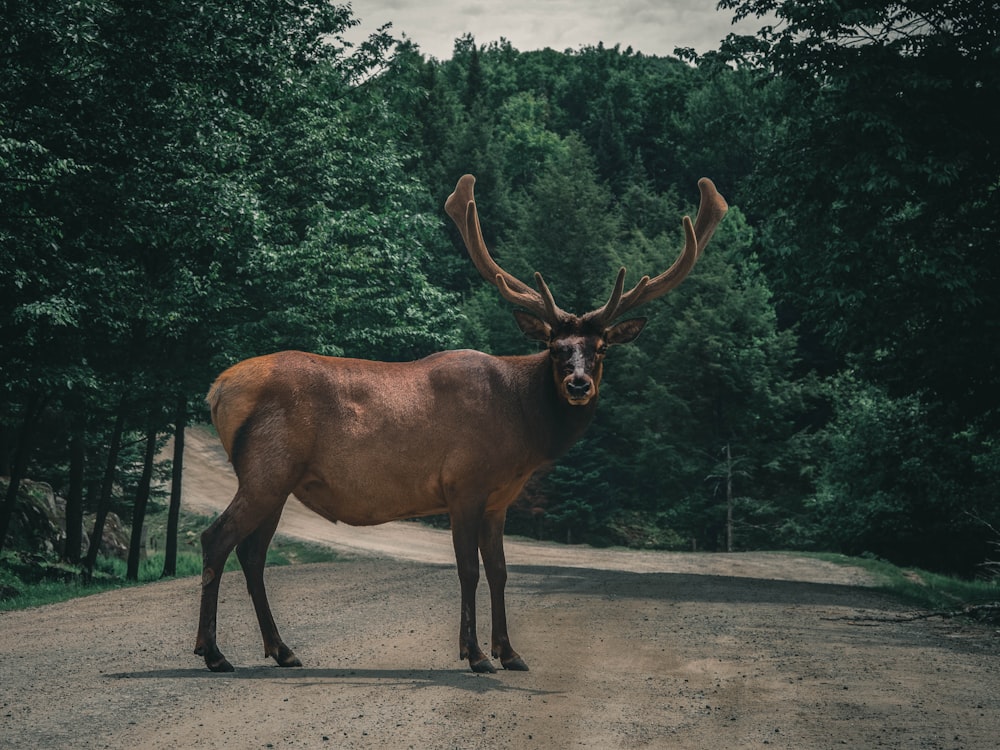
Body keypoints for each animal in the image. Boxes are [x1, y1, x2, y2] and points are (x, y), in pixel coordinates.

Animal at [195, 175, 728, 676]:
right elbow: (468, 570)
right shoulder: (463, 484)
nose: (578, 384)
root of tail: (217, 389)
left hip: (278, 480)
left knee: (253, 553)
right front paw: (475, 655)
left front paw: (510, 652)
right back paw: (213, 652)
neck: (523, 430)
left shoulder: (499, 499)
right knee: (217, 538)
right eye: (555, 347)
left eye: (600, 349)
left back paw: (282, 650)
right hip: (267, 469)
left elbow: (500, 571)